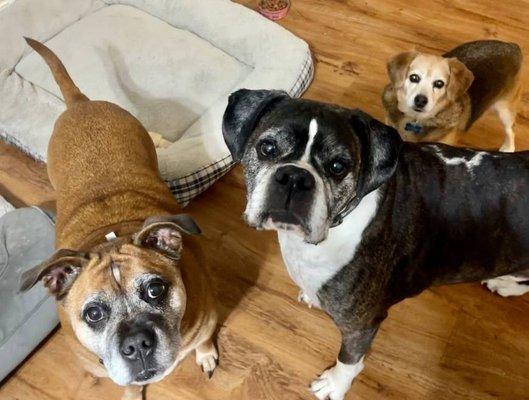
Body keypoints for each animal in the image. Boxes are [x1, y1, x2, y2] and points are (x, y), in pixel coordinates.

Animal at [18, 38, 217, 400]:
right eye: (93, 314)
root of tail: (80, 103)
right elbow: (126, 383)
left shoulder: (208, 319)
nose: (137, 344)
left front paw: (206, 355)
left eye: (155, 289)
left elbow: (205, 341)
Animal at [382, 40, 520, 152]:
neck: (416, 119)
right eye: (414, 77)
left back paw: (507, 148)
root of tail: (512, 47)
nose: (420, 100)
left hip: (505, 110)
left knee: (511, 131)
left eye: (439, 83)